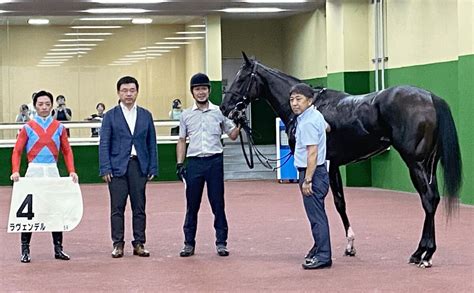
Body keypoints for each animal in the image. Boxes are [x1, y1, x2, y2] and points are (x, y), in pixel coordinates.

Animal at [220, 52, 462, 266]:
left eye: (242, 78)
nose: (225, 107)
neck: (309, 107)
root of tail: (430, 98)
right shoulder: (334, 164)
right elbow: (340, 203)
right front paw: (350, 246)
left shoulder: (318, 165)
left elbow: (319, 203)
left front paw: (316, 250)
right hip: (429, 164)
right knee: (434, 199)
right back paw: (422, 252)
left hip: (416, 163)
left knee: (428, 199)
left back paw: (424, 255)